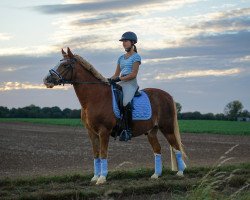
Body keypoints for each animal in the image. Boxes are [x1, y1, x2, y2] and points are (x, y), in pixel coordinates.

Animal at [43, 47, 188, 185]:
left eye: (65, 65)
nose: (46, 80)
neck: (95, 98)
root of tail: (167, 95)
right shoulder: (91, 133)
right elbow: (96, 154)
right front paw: (95, 177)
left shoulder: (104, 131)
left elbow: (103, 153)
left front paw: (102, 178)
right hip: (152, 131)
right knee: (157, 149)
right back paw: (156, 175)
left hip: (167, 128)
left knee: (176, 147)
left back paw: (180, 172)